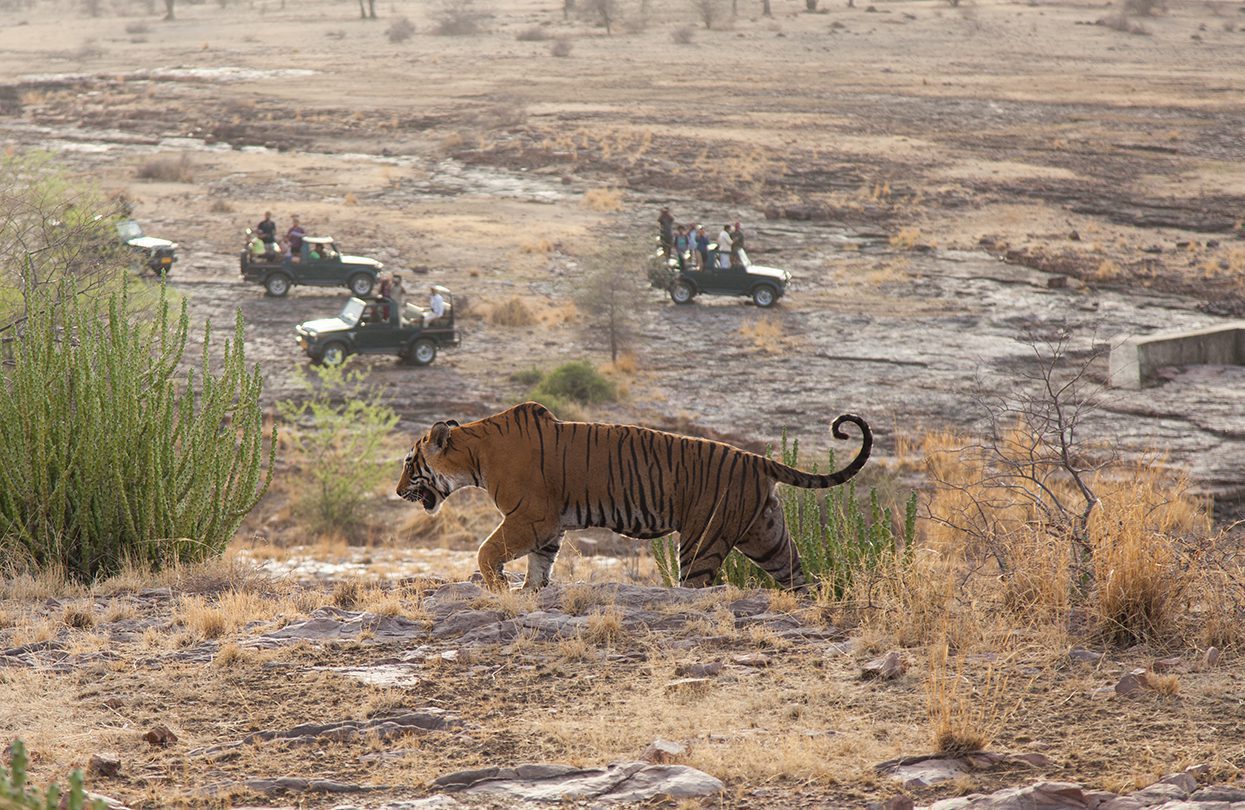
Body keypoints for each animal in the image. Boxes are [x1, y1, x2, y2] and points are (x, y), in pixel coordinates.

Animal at [393, 403, 871, 592]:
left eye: (409, 462)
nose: (397, 492)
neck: (474, 453)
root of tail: (757, 459)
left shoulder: (530, 518)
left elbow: (486, 551)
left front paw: (499, 588)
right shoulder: (548, 527)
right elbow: (539, 565)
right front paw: (529, 591)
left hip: (702, 540)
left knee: (695, 584)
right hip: (767, 535)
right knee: (799, 577)